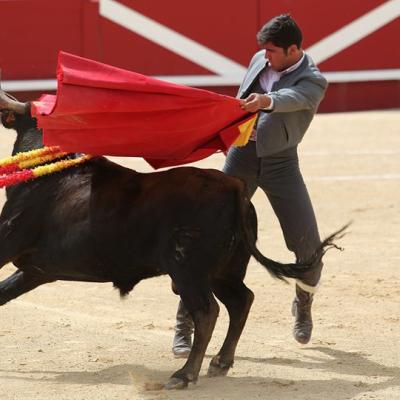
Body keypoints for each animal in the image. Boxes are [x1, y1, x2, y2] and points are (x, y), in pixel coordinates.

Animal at [0, 105, 344, 388]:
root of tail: (233, 187)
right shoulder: (36, 270)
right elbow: (3, 295)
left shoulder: (9, 243)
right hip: (223, 271)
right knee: (240, 301)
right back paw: (220, 362)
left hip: (187, 269)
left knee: (208, 310)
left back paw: (185, 375)